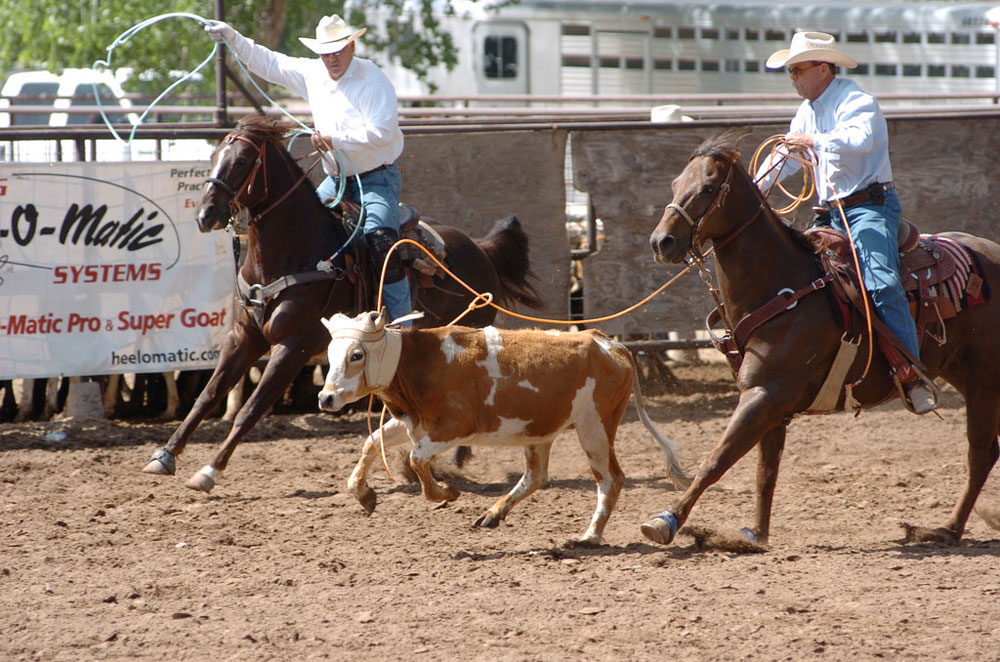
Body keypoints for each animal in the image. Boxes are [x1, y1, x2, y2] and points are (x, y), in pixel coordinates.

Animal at [143, 115, 540, 492]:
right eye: (212, 158)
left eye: (241, 161)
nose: (205, 215)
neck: (295, 252)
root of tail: (481, 248)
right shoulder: (244, 337)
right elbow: (208, 395)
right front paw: (164, 455)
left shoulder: (294, 346)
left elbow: (251, 409)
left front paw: (208, 471)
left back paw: (455, 454)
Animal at [318, 312, 688, 544]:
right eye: (330, 354)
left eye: (355, 355)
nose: (325, 397)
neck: (424, 361)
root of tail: (612, 345)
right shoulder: (413, 420)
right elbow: (372, 442)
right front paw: (363, 493)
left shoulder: (453, 426)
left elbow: (416, 459)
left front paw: (446, 492)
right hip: (541, 431)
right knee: (536, 476)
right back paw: (494, 513)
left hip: (594, 426)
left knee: (611, 479)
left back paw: (590, 536)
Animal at [640, 135, 1000, 548]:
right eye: (675, 184)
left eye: (709, 187)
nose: (661, 241)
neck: (782, 284)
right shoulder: (767, 401)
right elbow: (765, 471)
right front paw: (755, 535)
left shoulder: (765, 394)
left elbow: (715, 461)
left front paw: (666, 521)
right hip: (964, 372)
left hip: (984, 377)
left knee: (980, 452)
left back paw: (945, 528)